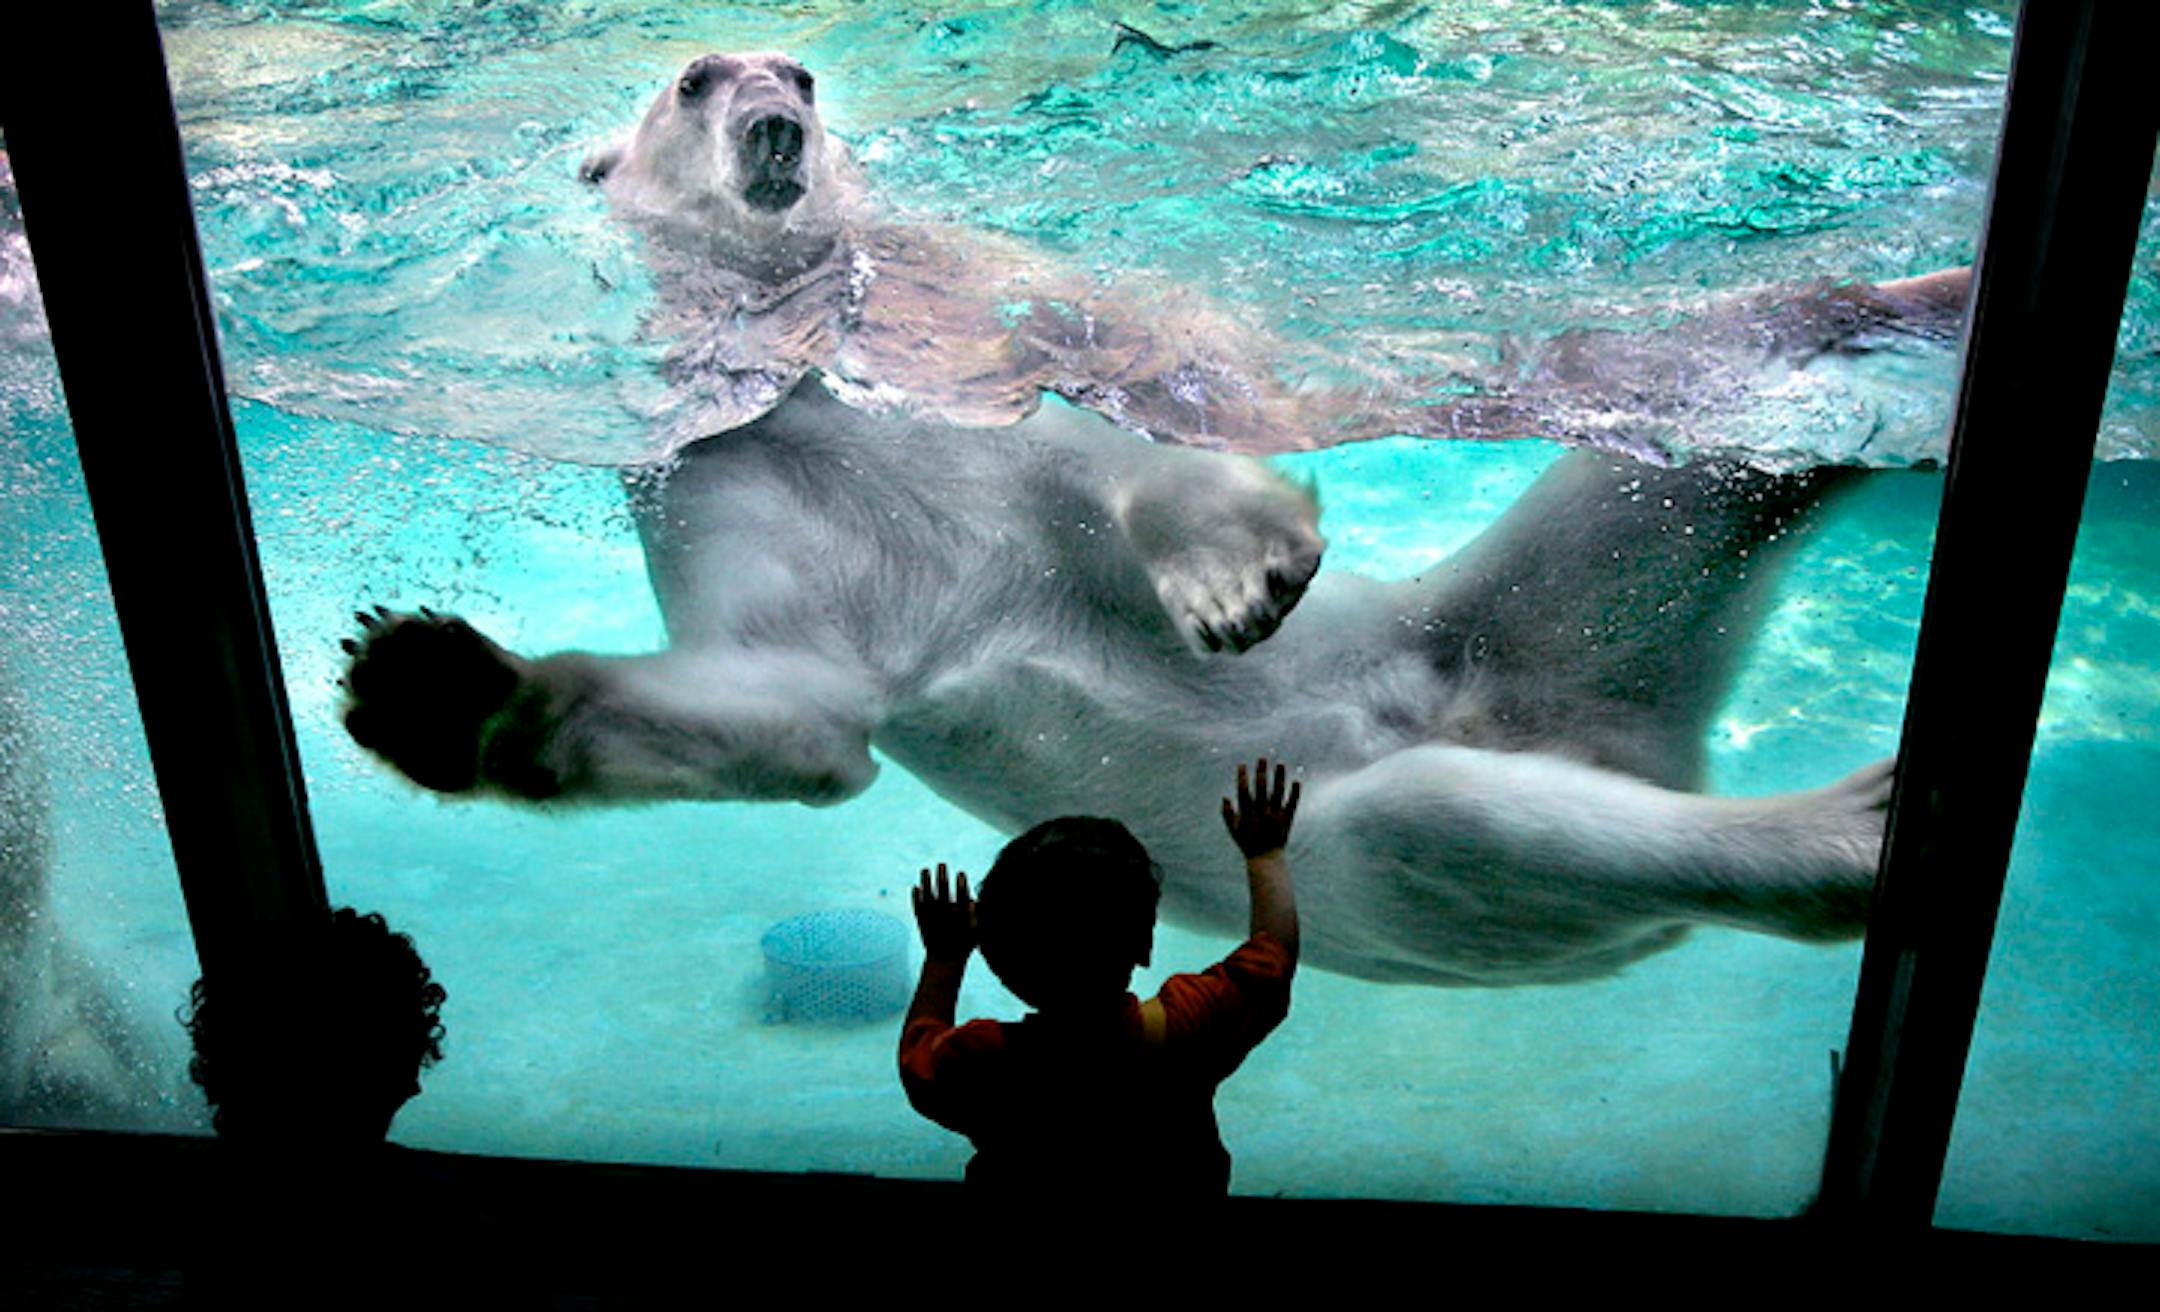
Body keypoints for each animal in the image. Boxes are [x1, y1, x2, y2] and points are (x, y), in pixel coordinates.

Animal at [338, 52, 1930, 986]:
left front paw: (1234, 573)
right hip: (1482, 721)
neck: (796, 341)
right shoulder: (720, 465)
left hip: (1478, 631)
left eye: (800, 68)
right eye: (692, 78)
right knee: (1470, 803)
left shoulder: (955, 337)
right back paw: (1845, 825)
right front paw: (429, 685)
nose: (781, 121)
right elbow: (790, 706)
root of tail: (1625, 732)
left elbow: (1131, 419)